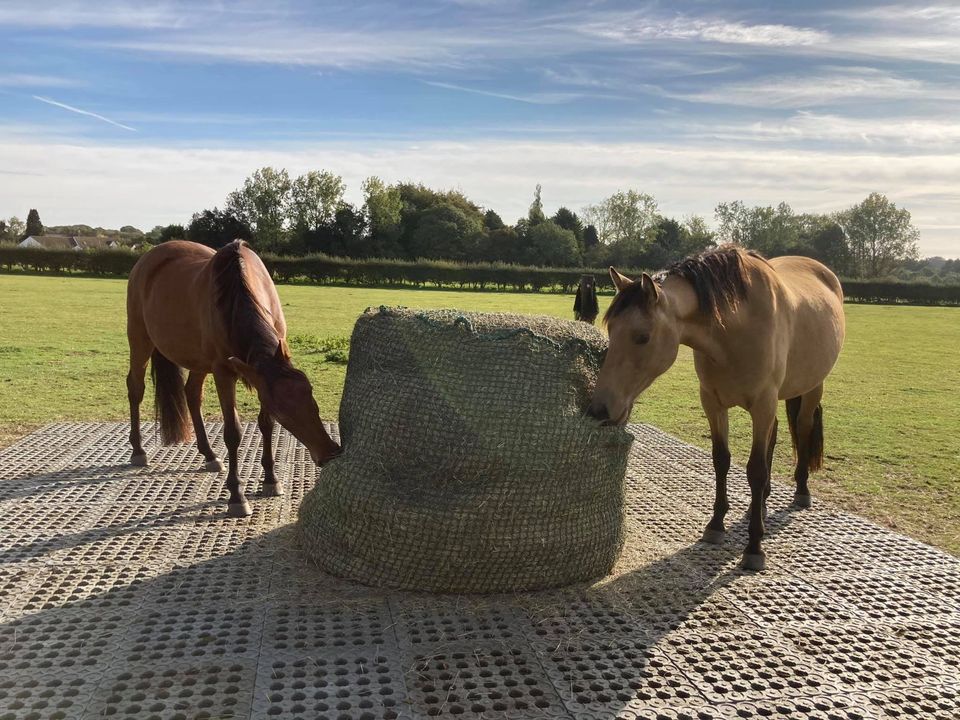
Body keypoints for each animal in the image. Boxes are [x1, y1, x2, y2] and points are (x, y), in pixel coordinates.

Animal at [125, 239, 340, 516]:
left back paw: (209, 455)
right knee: (136, 389)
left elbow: (265, 424)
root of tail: (149, 258)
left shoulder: (259, 379)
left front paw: (271, 479)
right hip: (140, 340)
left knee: (191, 393)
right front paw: (237, 495)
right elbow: (233, 432)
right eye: (284, 414)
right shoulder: (224, 372)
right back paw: (138, 450)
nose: (329, 452)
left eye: (311, 396)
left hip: (198, 360)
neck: (236, 294)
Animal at [588, 245, 844, 572]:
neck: (736, 328)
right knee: (774, 437)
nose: (599, 409)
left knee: (802, 428)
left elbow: (755, 470)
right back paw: (761, 503)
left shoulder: (763, 403)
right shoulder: (712, 402)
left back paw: (801, 491)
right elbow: (721, 460)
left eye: (642, 337)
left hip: (812, 388)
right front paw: (716, 524)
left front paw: (754, 547)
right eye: (610, 329)